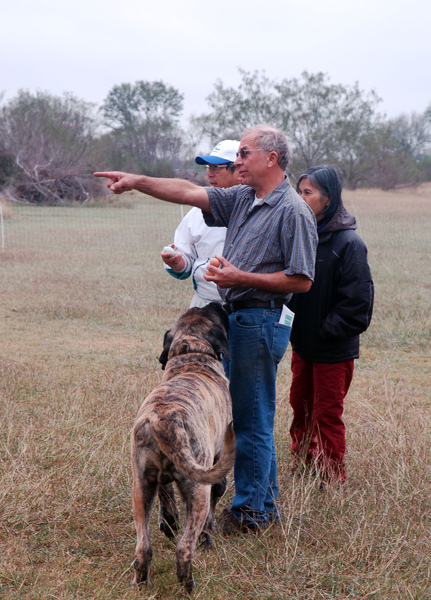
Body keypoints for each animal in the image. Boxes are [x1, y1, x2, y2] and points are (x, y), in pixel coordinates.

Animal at [131, 302, 235, 592]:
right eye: (216, 315)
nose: (217, 302)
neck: (191, 356)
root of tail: (164, 420)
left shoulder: (156, 481)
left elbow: (166, 500)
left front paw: (168, 522)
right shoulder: (216, 465)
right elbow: (214, 506)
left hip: (140, 488)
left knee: (144, 547)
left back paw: (141, 582)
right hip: (198, 489)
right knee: (184, 549)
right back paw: (189, 587)